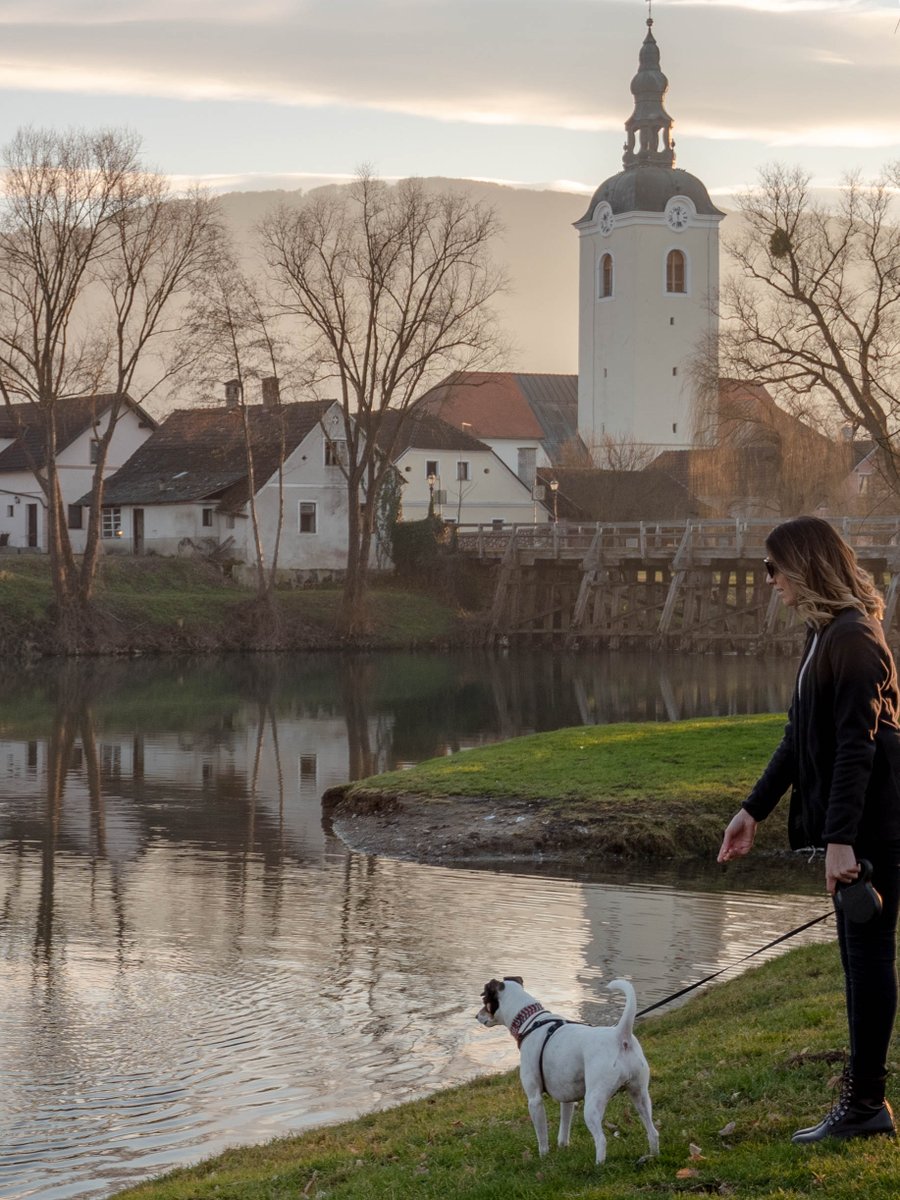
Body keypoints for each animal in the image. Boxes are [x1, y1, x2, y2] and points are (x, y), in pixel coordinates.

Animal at [475, 974, 657, 1161]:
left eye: (484, 1000)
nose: (476, 1016)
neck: (531, 1022)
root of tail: (620, 1035)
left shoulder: (534, 1099)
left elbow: (542, 1137)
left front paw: (543, 1158)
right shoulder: (567, 1097)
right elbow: (564, 1129)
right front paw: (563, 1148)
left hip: (593, 1103)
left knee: (601, 1140)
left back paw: (599, 1165)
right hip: (640, 1095)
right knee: (653, 1132)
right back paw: (652, 1156)